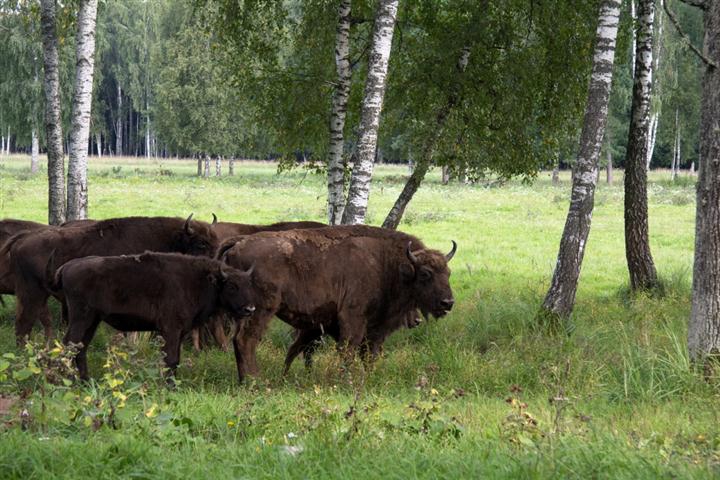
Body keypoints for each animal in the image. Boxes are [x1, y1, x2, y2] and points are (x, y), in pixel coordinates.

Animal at [4, 214, 218, 342]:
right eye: (201, 244)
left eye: (216, 246)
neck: (170, 238)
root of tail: (22, 239)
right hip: (31, 293)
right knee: (24, 323)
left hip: (38, 295)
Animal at [55, 251, 258, 378]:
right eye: (232, 286)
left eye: (249, 285)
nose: (250, 309)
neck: (203, 280)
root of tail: (67, 266)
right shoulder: (170, 329)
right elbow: (171, 359)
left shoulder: (179, 332)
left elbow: (174, 360)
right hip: (81, 318)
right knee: (69, 345)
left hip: (93, 320)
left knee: (80, 348)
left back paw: (85, 381)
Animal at [218, 225, 456, 382]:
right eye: (425, 274)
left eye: (448, 273)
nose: (448, 302)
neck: (387, 264)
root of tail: (239, 242)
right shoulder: (353, 318)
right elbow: (348, 350)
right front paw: (346, 381)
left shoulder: (375, 330)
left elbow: (369, 355)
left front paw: (369, 379)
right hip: (259, 310)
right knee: (246, 340)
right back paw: (255, 380)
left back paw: (246, 379)